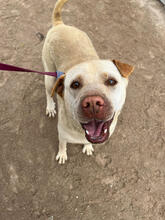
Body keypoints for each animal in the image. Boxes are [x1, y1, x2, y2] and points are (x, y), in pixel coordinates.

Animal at [42, 0, 134, 163]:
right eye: (75, 84)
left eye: (111, 81)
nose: (92, 103)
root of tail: (60, 25)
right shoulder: (62, 135)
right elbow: (62, 145)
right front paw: (62, 154)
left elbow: (87, 142)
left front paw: (87, 146)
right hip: (50, 77)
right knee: (48, 92)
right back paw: (50, 107)